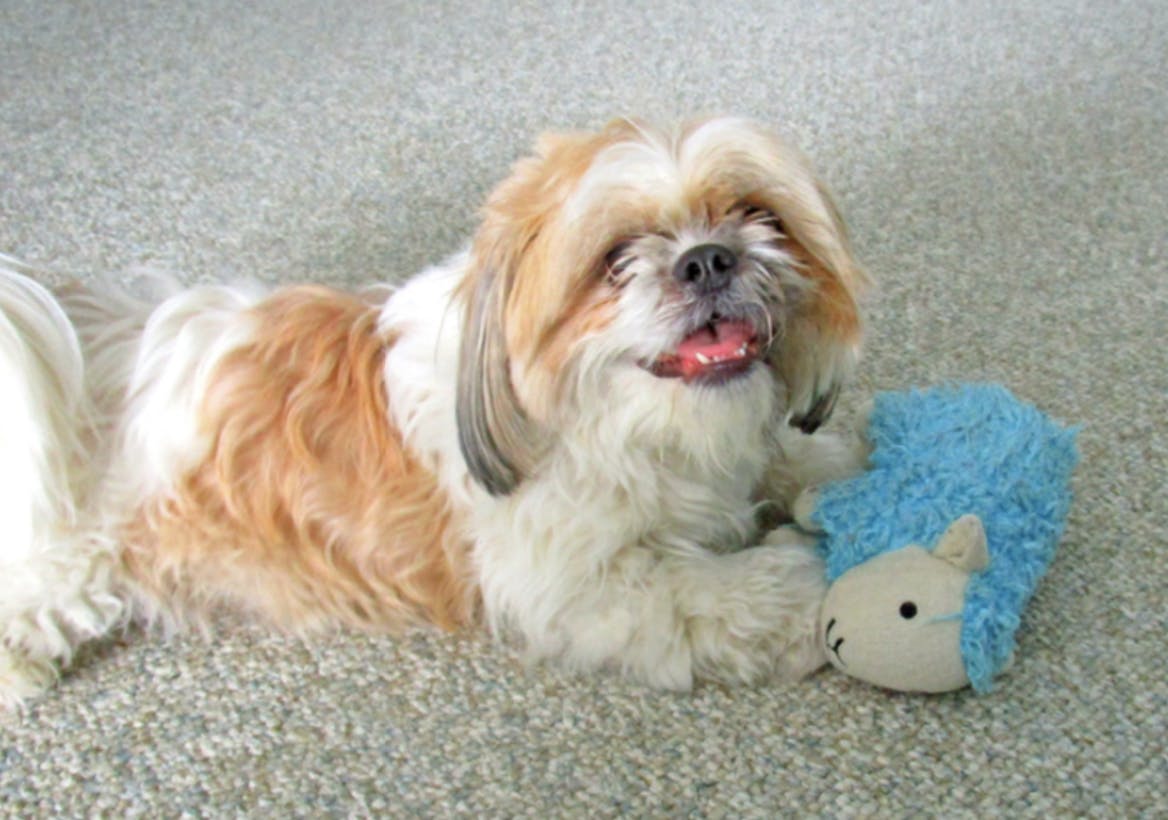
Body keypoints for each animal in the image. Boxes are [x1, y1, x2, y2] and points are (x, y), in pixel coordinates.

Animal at [0, 117, 868, 705]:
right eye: (615, 260)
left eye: (758, 215)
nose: (707, 259)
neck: (630, 422)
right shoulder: (581, 584)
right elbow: (723, 595)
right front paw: (815, 583)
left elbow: (790, 456)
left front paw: (850, 461)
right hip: (71, 560)